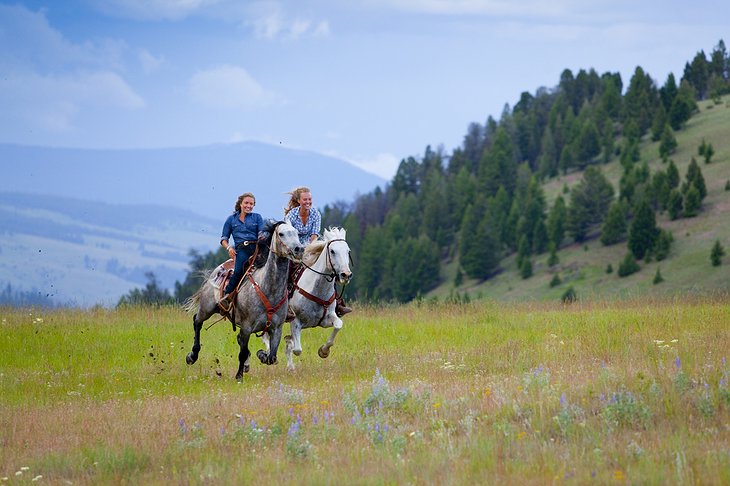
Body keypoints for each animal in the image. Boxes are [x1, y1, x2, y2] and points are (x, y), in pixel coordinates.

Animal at [274, 230, 352, 370]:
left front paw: (324, 351)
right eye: (332, 251)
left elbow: (338, 325)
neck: (317, 289)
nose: (346, 275)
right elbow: (297, 349)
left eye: (348, 251)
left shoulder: (327, 319)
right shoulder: (296, 321)